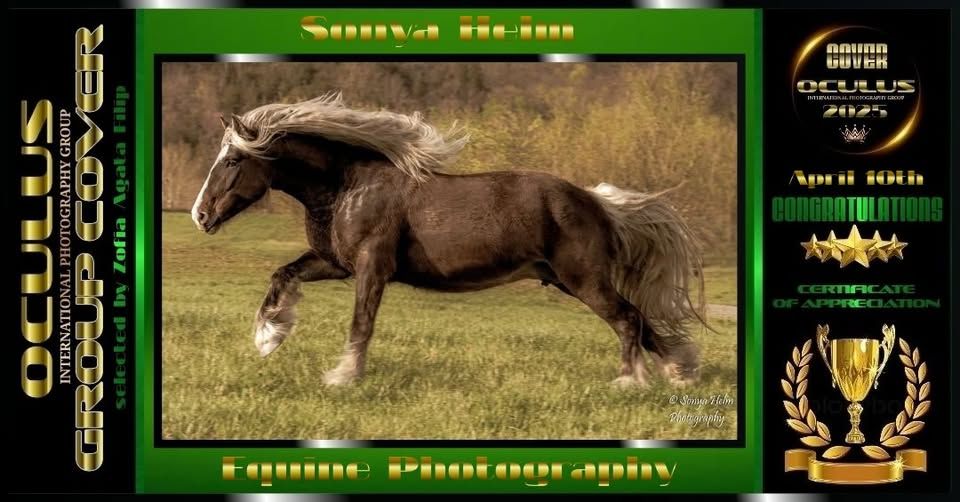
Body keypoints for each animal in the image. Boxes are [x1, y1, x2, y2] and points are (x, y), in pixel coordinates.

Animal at [189, 92, 707, 387]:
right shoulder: (335, 263)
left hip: (584, 281)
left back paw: (631, 382)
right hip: (568, 280)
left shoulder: (372, 268)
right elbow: (283, 275)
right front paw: (268, 338)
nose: (200, 215)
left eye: (232, 160)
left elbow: (361, 324)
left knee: (627, 319)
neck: (347, 187)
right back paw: (678, 375)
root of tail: (596, 202)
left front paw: (342, 377)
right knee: (642, 320)